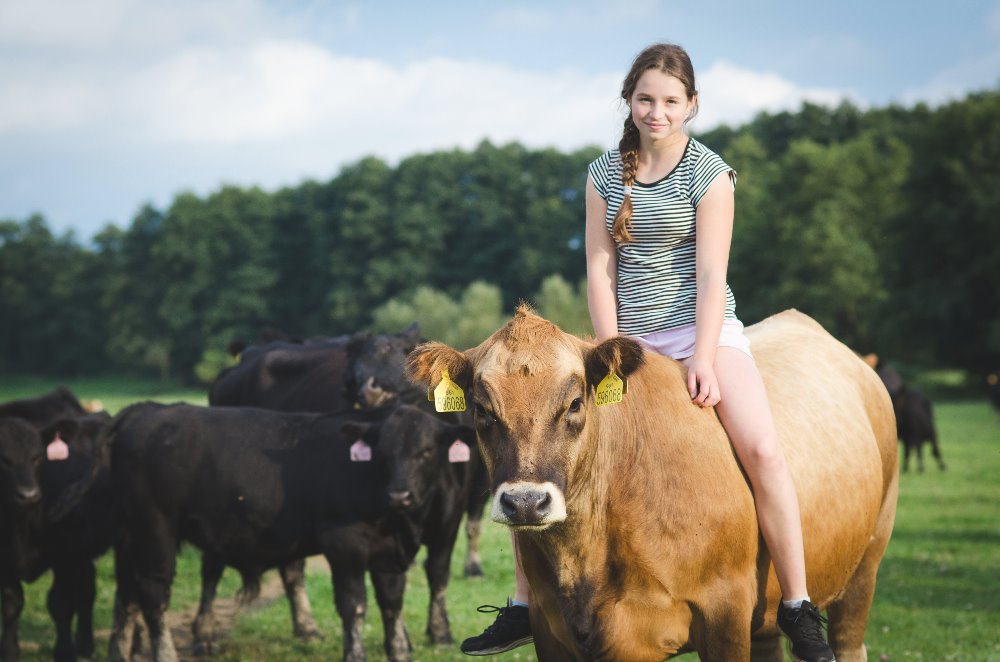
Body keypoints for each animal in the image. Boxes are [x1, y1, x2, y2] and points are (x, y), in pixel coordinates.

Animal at [0, 412, 114, 660]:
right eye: (3, 459)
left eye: (37, 456)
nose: (28, 495)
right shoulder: (5, 562)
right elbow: (11, 605)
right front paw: (9, 652)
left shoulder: (64, 556)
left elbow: (60, 603)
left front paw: (64, 652)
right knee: (87, 585)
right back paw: (84, 644)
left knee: (84, 591)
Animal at [107, 404, 474, 662]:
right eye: (383, 451)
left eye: (426, 451)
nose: (400, 495)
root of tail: (145, 411)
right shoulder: (344, 543)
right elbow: (354, 604)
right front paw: (355, 653)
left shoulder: (388, 552)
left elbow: (391, 603)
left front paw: (399, 650)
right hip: (155, 531)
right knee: (153, 595)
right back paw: (165, 652)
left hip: (130, 536)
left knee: (126, 596)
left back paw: (120, 652)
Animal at [406, 308, 900, 662]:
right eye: (482, 410)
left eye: (575, 403)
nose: (526, 502)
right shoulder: (553, 632)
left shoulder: (725, 615)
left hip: (865, 569)